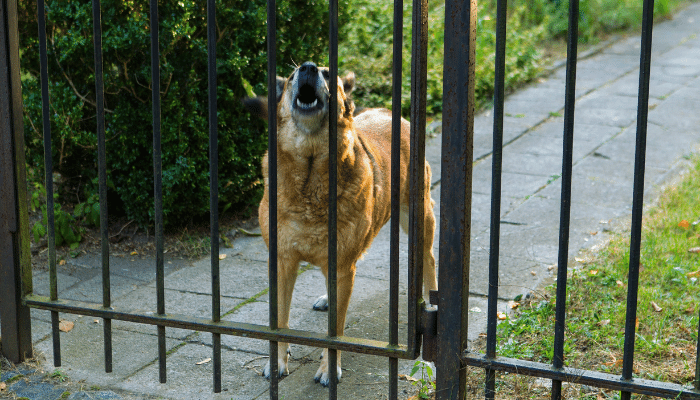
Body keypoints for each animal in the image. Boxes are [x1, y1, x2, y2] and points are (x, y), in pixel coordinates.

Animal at [243, 61, 434, 384]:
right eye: (292, 76)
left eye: (327, 73)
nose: (307, 68)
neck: (309, 180)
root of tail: (389, 112)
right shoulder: (282, 260)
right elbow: (280, 320)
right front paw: (277, 361)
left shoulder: (342, 265)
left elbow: (336, 330)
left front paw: (328, 369)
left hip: (418, 218)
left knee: (430, 259)